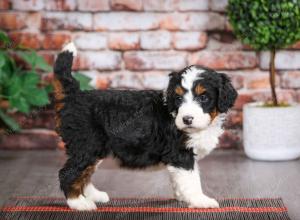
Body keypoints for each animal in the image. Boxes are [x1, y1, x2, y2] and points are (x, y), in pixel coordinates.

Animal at [53, 42, 237, 210]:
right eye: (178, 99)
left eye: (204, 97)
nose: (187, 119)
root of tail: (76, 96)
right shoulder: (181, 154)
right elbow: (191, 180)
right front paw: (200, 200)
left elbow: (180, 180)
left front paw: (182, 196)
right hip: (87, 145)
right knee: (69, 173)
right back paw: (79, 203)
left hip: (94, 148)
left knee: (85, 173)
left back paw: (93, 195)